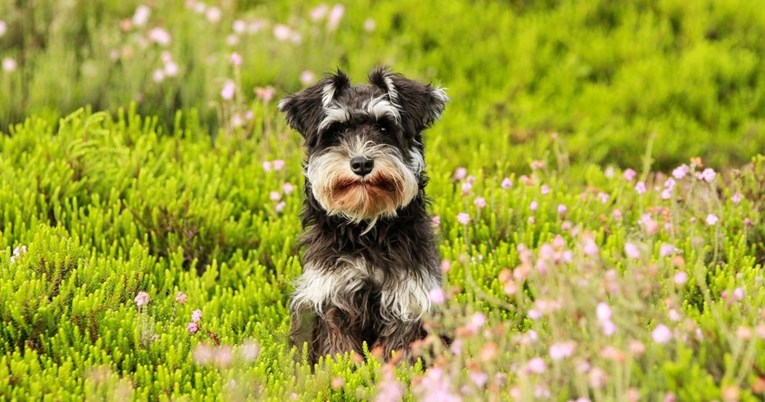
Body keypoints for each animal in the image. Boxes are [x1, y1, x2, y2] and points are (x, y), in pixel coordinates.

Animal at [280, 66, 448, 364]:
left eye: (384, 127)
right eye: (335, 130)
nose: (361, 163)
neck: (367, 229)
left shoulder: (407, 301)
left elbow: (397, 352)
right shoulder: (332, 300)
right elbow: (338, 352)